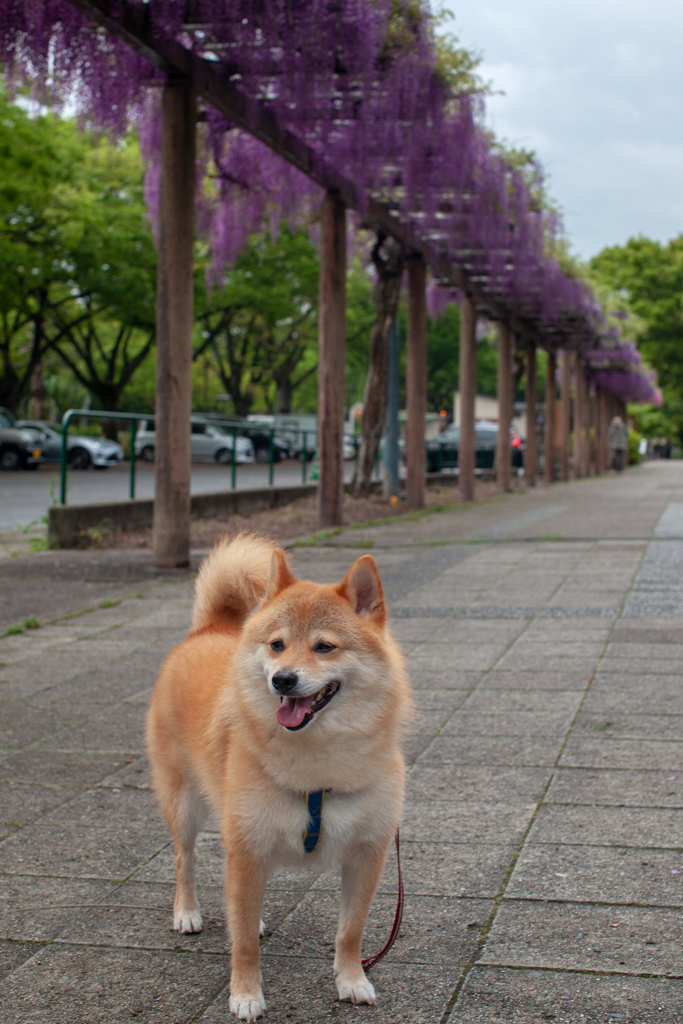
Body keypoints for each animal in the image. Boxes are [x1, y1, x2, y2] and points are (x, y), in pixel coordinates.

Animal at [147, 532, 413, 1019]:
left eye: (324, 646)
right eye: (276, 645)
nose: (283, 680)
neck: (317, 764)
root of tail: (207, 630)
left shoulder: (366, 854)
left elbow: (350, 932)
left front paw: (352, 981)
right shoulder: (248, 849)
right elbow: (244, 945)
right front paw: (246, 995)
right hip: (185, 804)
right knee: (185, 859)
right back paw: (187, 912)